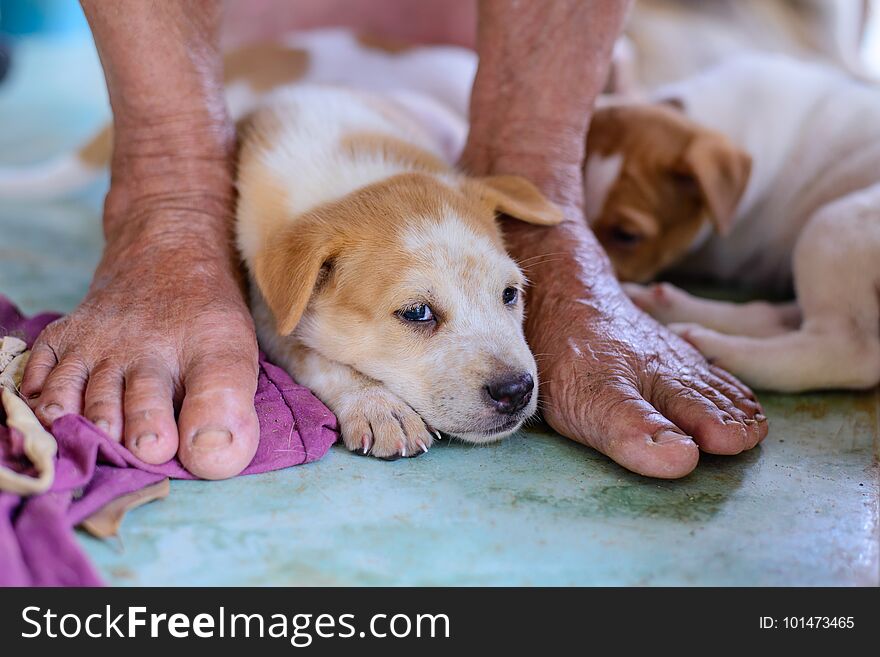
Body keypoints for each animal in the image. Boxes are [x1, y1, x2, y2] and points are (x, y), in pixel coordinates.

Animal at [584, 53, 880, 392]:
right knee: (774, 316)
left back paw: (720, 348)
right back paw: (668, 306)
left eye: (626, 235)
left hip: (835, 226)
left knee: (848, 348)